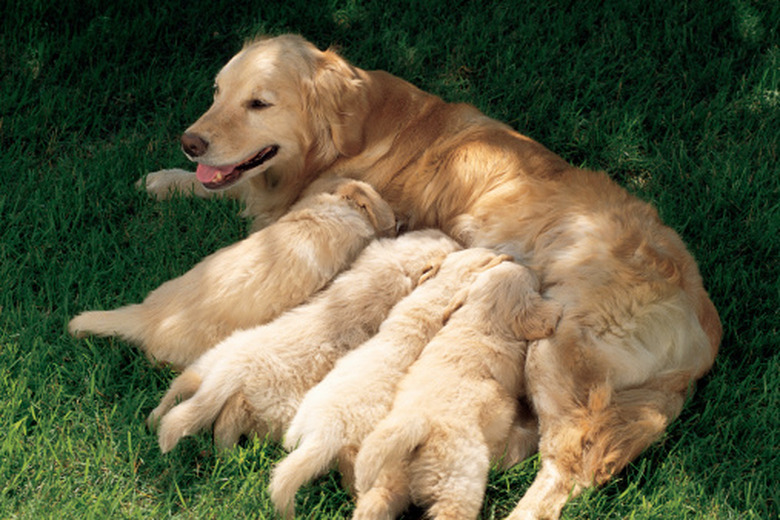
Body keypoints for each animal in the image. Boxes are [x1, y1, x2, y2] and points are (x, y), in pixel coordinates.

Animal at [149, 230, 460, 452]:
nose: (457, 239)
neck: (394, 266)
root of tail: (233, 370)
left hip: (209, 361)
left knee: (182, 387)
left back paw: (154, 418)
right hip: (271, 407)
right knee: (227, 417)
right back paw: (228, 452)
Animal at [352, 264, 560, 520]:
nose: (528, 266)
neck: (480, 318)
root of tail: (417, 425)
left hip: (388, 474)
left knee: (374, 503)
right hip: (460, 481)